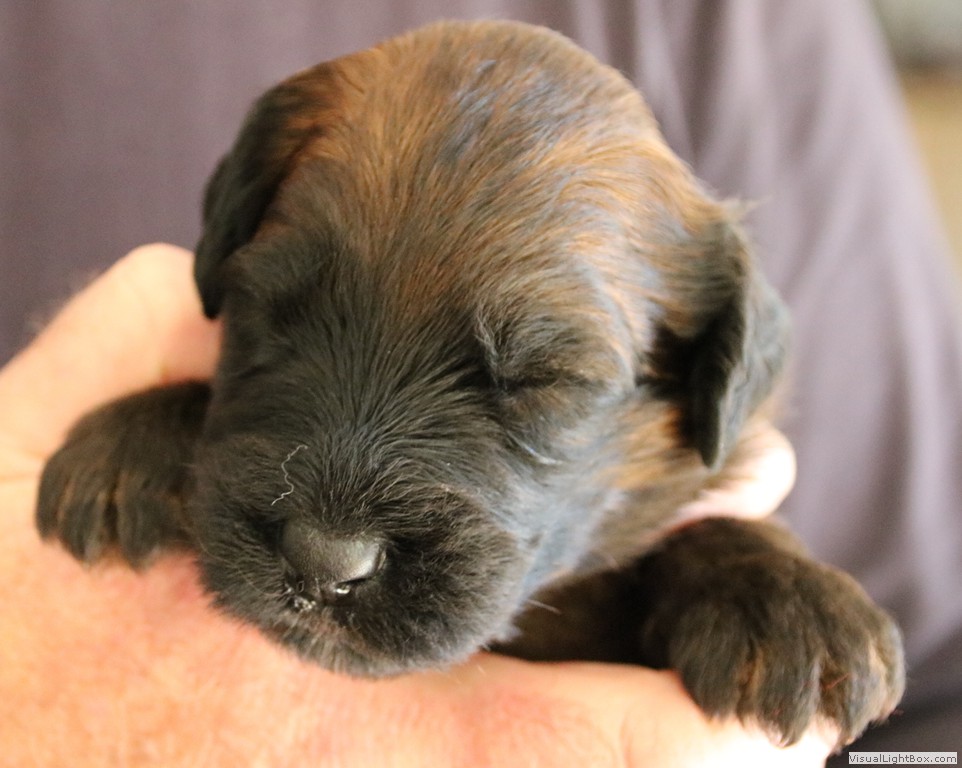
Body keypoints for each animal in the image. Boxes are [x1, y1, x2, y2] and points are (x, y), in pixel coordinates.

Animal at [37, 20, 903, 748]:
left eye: (540, 379)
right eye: (269, 311)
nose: (322, 565)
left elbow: (704, 523)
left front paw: (784, 596)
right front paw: (130, 445)